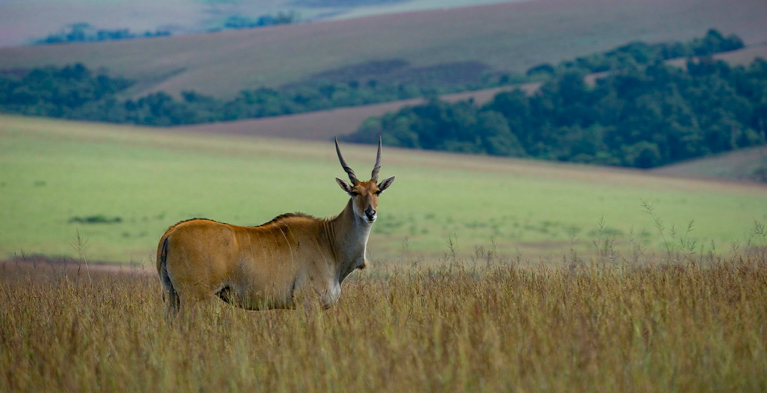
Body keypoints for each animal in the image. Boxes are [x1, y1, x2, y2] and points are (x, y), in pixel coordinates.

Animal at [157, 138, 396, 316]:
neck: (329, 241)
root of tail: (170, 233)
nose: (370, 213)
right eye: (354, 192)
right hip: (193, 298)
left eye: (377, 191)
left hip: (172, 297)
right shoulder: (308, 303)